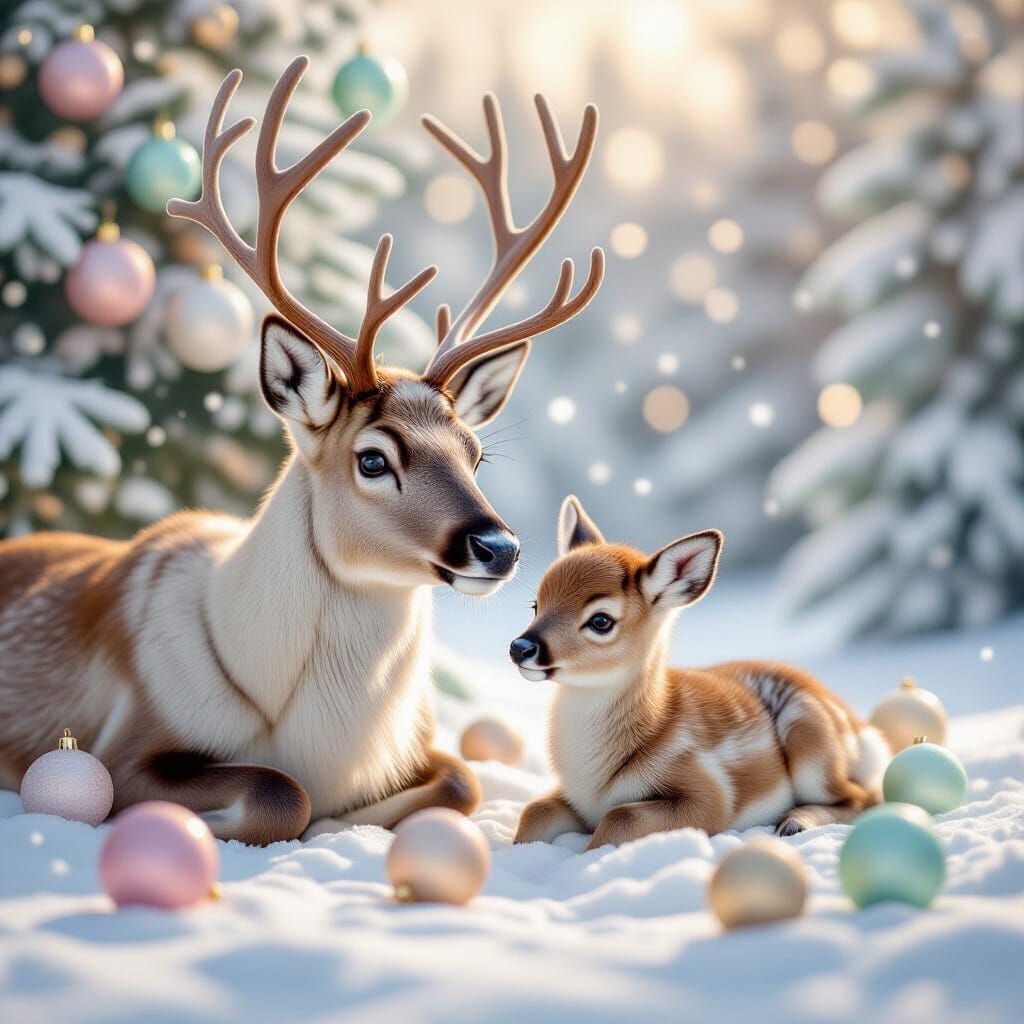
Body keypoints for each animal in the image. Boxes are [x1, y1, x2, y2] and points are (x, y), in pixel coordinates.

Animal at [0, 58, 604, 846]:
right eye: (373, 458)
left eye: (475, 453)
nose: (498, 547)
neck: (325, 740)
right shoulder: (126, 743)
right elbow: (280, 791)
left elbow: (462, 779)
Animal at [511, 497, 890, 851]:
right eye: (536, 605)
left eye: (601, 620)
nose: (520, 647)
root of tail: (861, 728)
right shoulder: (574, 798)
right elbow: (535, 811)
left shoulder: (710, 796)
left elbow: (621, 816)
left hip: (812, 743)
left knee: (862, 797)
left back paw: (794, 822)